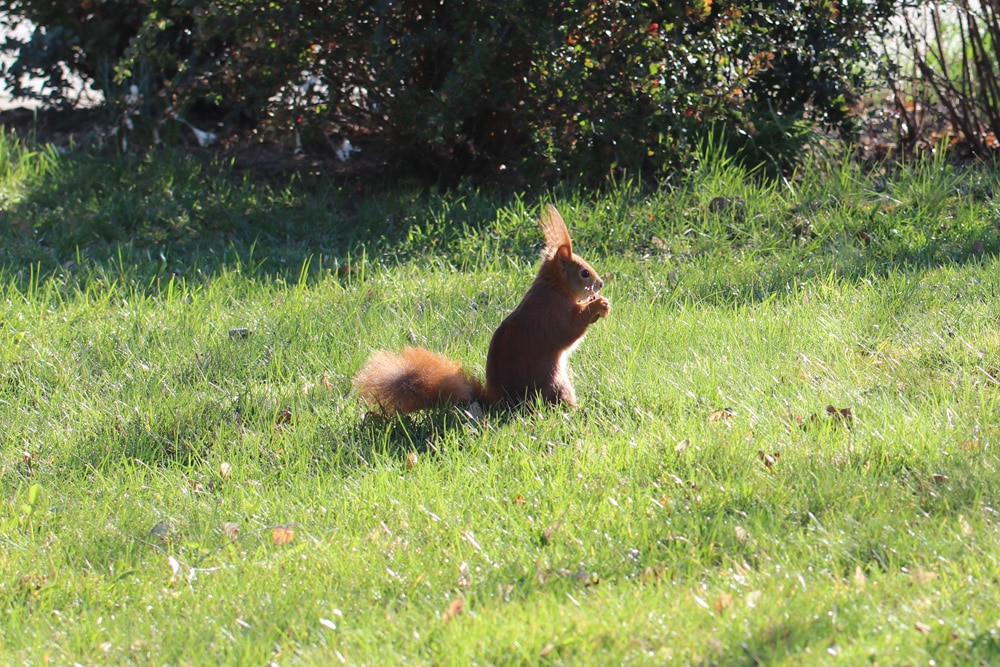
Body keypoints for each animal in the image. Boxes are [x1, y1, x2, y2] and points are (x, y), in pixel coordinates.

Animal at [352, 205, 608, 412]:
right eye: (584, 273)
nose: (601, 284)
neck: (554, 287)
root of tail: (502, 404)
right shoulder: (550, 314)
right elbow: (568, 331)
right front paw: (598, 305)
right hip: (555, 385)